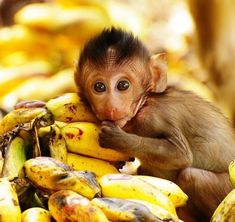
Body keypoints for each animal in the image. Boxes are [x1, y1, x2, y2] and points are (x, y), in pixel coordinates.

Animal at [74, 27, 235, 220]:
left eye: (123, 85)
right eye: (99, 87)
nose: (111, 106)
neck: (144, 103)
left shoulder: (155, 116)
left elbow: (180, 154)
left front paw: (117, 139)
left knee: (192, 176)